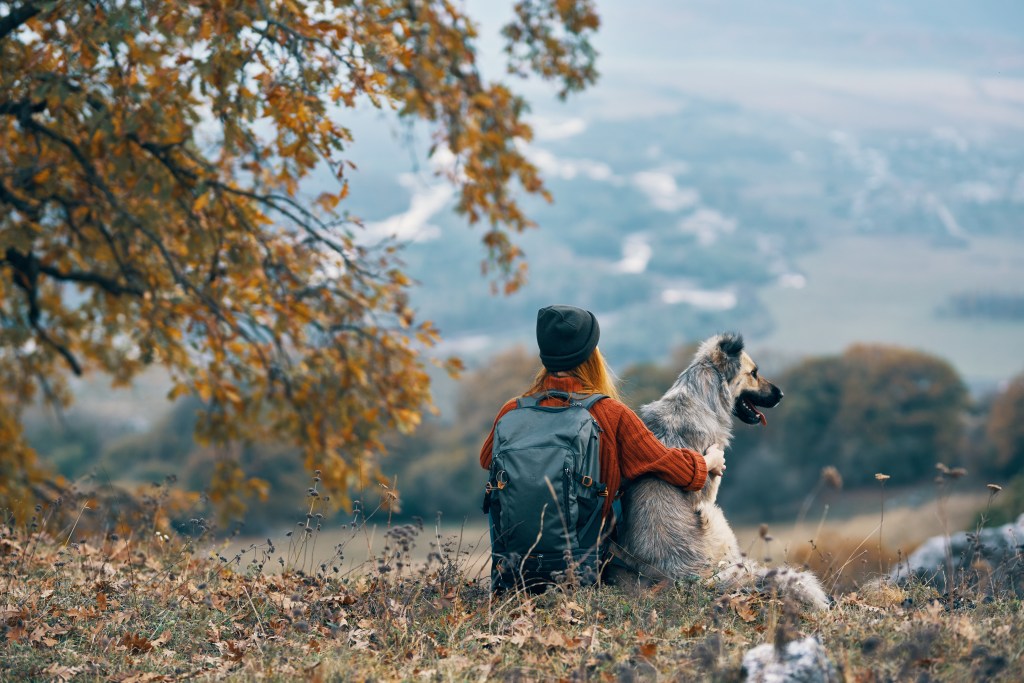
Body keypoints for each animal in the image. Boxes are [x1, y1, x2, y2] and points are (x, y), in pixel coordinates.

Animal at [606, 333, 831, 610]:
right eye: (754, 373)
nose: (782, 394)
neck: (701, 398)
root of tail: (683, 574)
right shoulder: (709, 490)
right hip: (714, 514)